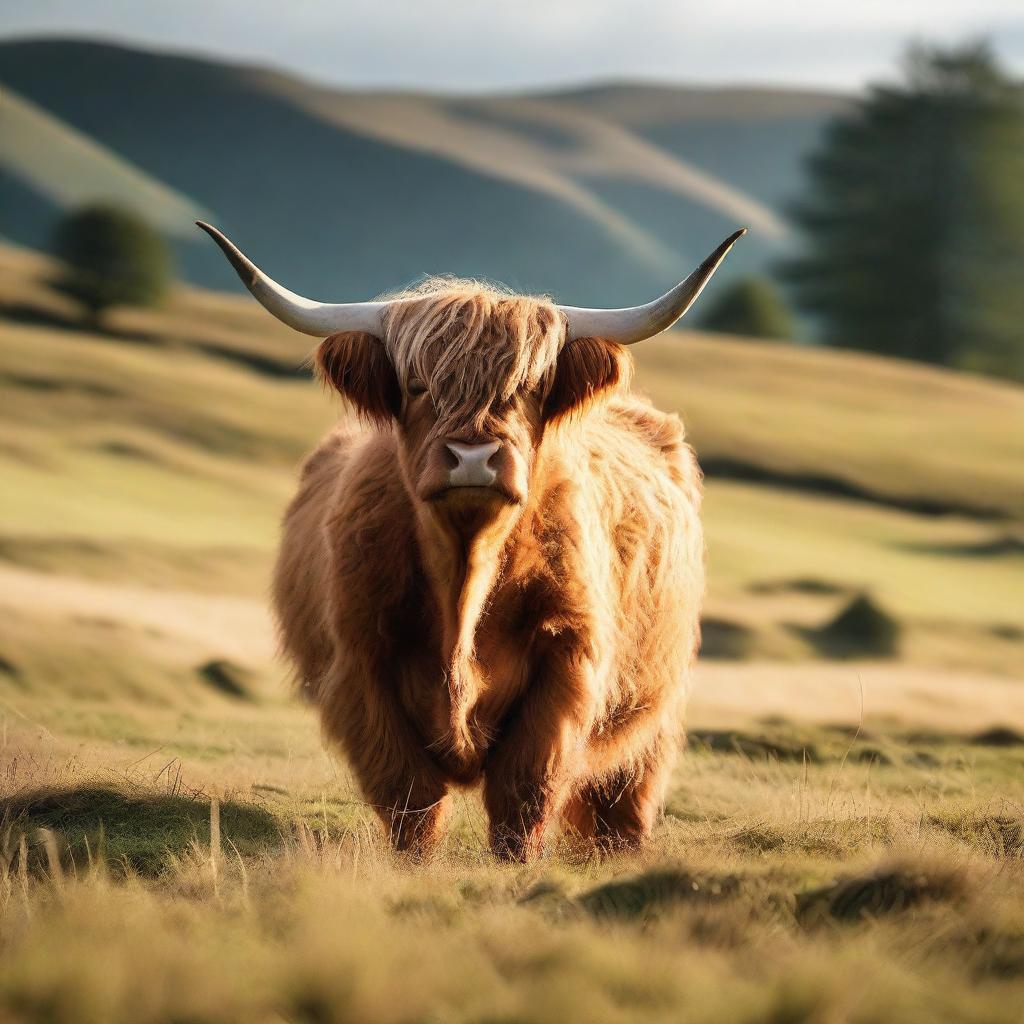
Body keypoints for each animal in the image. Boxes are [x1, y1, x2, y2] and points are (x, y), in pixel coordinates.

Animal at [199, 222, 745, 856]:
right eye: (416, 385)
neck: (465, 576)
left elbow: (524, 787)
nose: (473, 457)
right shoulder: (362, 665)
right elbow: (408, 792)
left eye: (529, 386)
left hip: (657, 708)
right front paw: (414, 862)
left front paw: (515, 863)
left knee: (625, 796)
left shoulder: (566, 663)